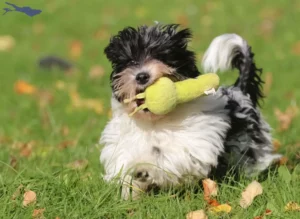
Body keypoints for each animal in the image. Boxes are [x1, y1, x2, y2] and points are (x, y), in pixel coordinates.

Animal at [99, 23, 280, 198]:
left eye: (162, 57)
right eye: (130, 61)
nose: (141, 76)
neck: (155, 121)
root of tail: (240, 89)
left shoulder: (192, 145)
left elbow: (165, 157)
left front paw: (144, 169)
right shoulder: (123, 144)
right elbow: (124, 163)